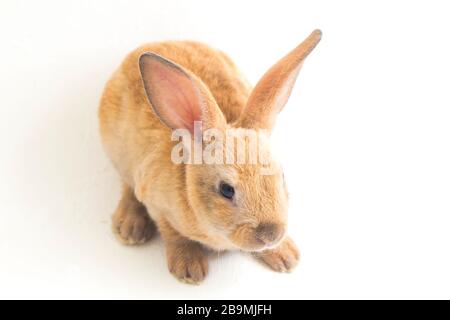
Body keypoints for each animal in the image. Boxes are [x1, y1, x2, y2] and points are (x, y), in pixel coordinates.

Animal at [99, 30, 324, 284]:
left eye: (282, 176)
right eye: (226, 190)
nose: (271, 234)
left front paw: (287, 257)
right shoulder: (157, 205)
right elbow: (174, 235)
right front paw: (190, 270)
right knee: (127, 187)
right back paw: (129, 228)